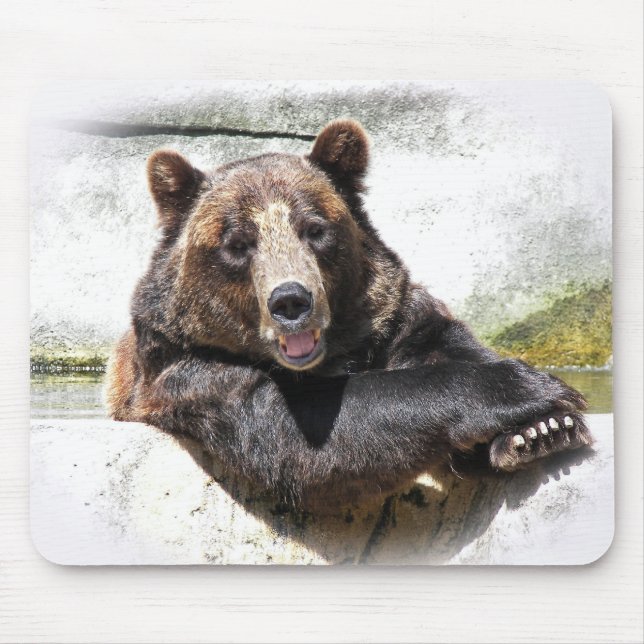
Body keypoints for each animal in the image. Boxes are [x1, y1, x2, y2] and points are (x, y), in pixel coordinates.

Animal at [106, 119, 593, 509]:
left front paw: (542, 429)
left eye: (315, 228)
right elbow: (302, 436)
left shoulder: (395, 319)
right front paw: (528, 389)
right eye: (238, 242)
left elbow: (445, 345)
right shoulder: (193, 373)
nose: (290, 301)